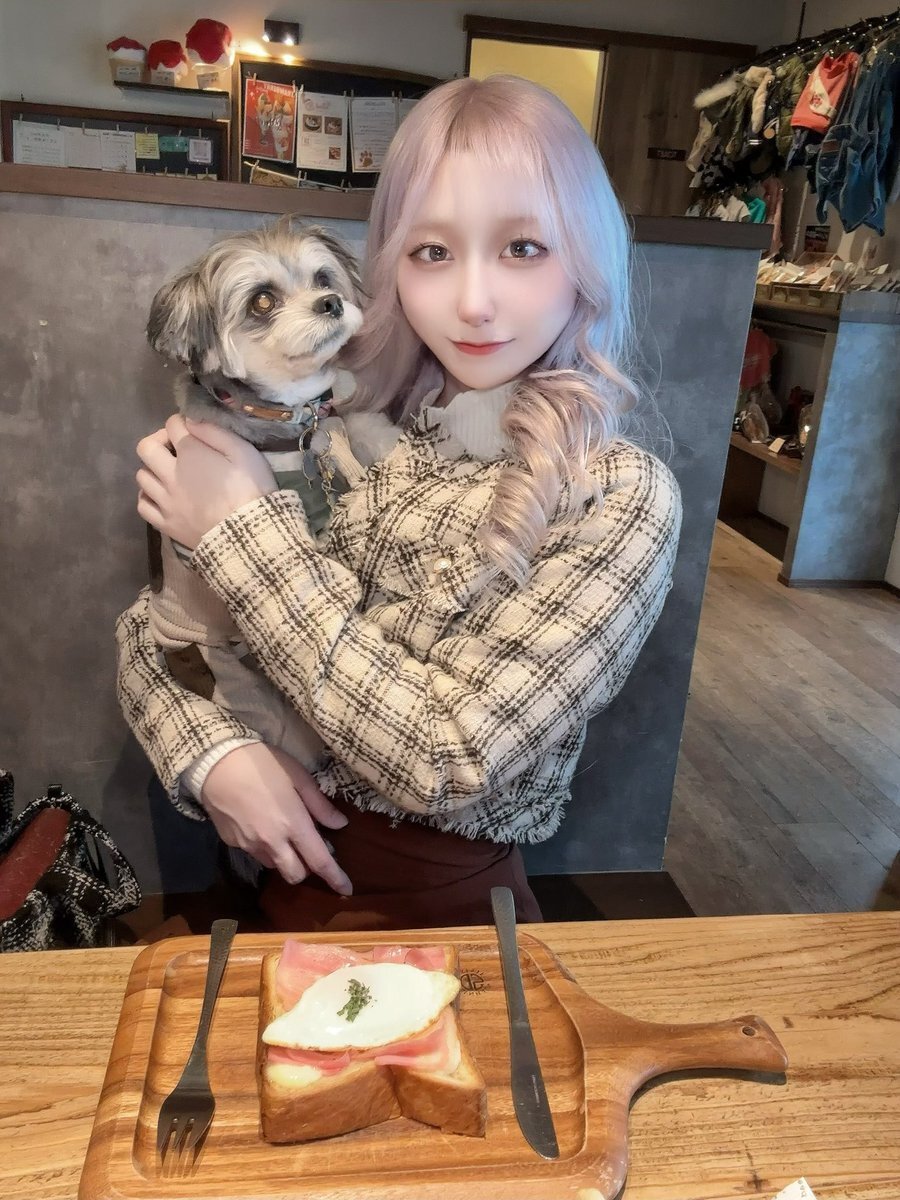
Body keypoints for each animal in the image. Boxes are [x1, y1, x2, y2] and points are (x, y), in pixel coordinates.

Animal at [144, 219, 398, 779]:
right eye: (262, 301)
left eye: (323, 277)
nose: (331, 302)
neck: (291, 425)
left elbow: (357, 430)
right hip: (245, 693)